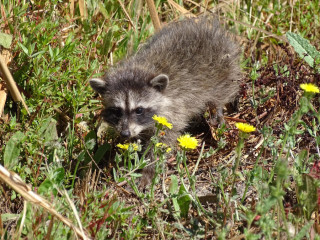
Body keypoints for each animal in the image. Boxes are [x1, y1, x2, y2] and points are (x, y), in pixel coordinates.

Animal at [89, 16, 240, 182]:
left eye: (139, 110)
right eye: (117, 111)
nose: (125, 134)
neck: (141, 69)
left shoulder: (174, 112)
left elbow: (163, 141)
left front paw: (149, 168)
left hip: (223, 71)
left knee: (220, 94)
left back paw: (218, 110)